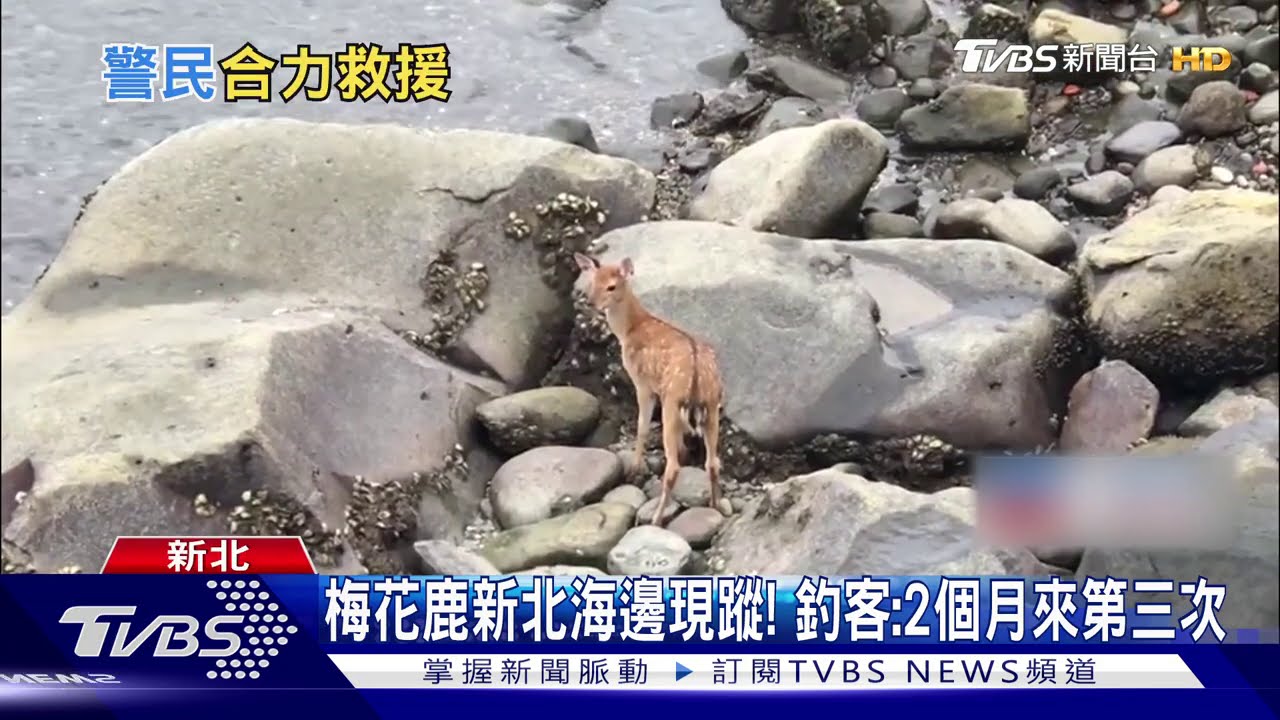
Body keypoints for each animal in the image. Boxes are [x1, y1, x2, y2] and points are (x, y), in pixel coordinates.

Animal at [573, 252, 725, 527]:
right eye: (592, 283)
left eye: (612, 286)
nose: (591, 303)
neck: (630, 329)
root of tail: (697, 380)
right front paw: (684, 452)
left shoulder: (642, 383)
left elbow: (642, 426)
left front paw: (635, 469)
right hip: (712, 406)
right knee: (713, 462)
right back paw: (714, 505)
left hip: (672, 402)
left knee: (673, 467)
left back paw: (655, 519)